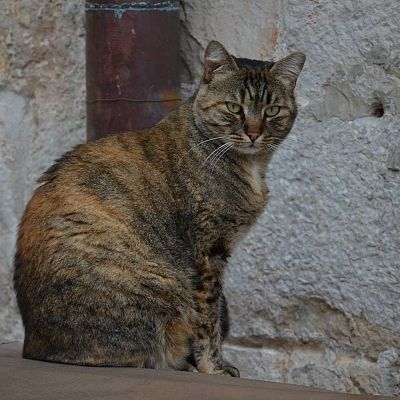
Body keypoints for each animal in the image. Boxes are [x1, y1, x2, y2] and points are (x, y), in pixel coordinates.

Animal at [14, 41, 304, 378]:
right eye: (234, 107)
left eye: (272, 110)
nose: (254, 133)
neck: (251, 167)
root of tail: (34, 345)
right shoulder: (207, 252)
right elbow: (208, 317)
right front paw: (213, 366)